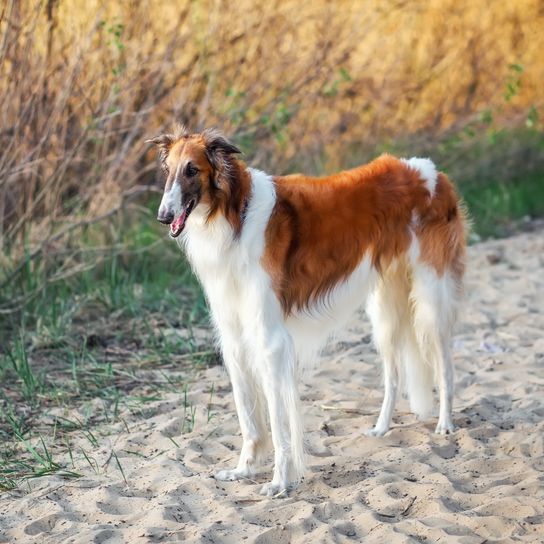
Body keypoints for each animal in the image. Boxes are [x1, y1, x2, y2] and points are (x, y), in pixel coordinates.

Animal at [149, 126, 468, 498]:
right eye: (167, 170)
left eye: (192, 170)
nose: (163, 216)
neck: (235, 215)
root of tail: (432, 171)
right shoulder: (234, 339)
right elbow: (249, 419)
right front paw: (244, 470)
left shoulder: (270, 342)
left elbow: (277, 422)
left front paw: (279, 481)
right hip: (384, 309)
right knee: (393, 375)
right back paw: (381, 428)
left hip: (432, 299)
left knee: (445, 365)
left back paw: (445, 423)